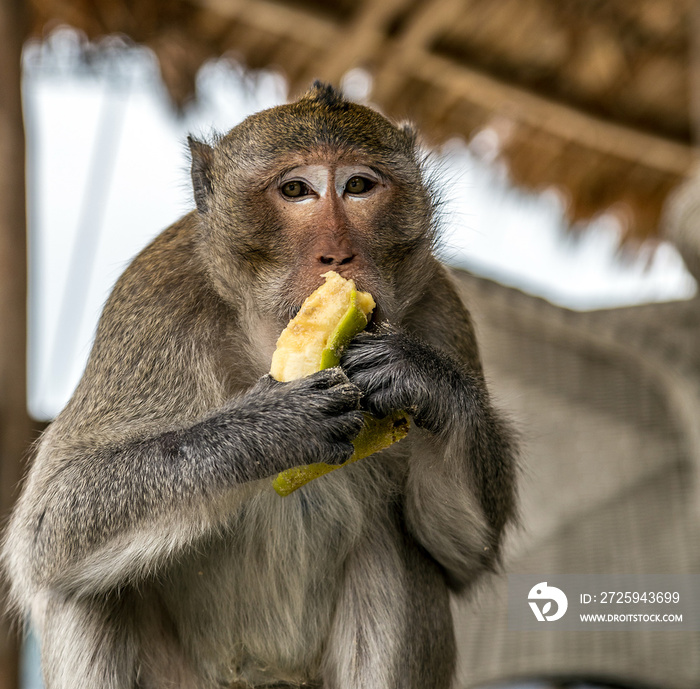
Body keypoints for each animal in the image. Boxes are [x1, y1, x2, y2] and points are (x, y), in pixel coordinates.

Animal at [0, 83, 516, 688]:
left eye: (358, 187)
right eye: (296, 191)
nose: (338, 254)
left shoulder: (441, 308)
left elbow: (462, 550)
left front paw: (423, 379)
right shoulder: (151, 306)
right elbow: (52, 521)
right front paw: (269, 429)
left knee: (401, 549)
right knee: (77, 587)